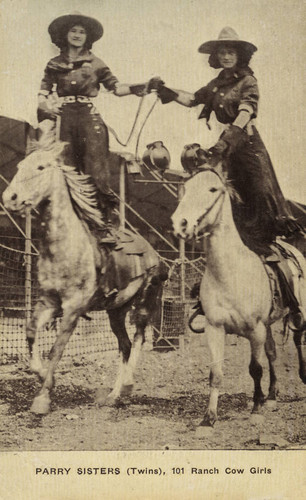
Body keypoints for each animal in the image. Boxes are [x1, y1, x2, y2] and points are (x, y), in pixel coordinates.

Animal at [171, 166, 304, 428]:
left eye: (213, 189)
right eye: (186, 188)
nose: (180, 223)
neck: (231, 274)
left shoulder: (256, 330)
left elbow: (255, 368)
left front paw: (256, 409)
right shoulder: (215, 328)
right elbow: (216, 373)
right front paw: (208, 419)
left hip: (298, 315)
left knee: (297, 339)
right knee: (273, 353)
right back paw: (272, 396)